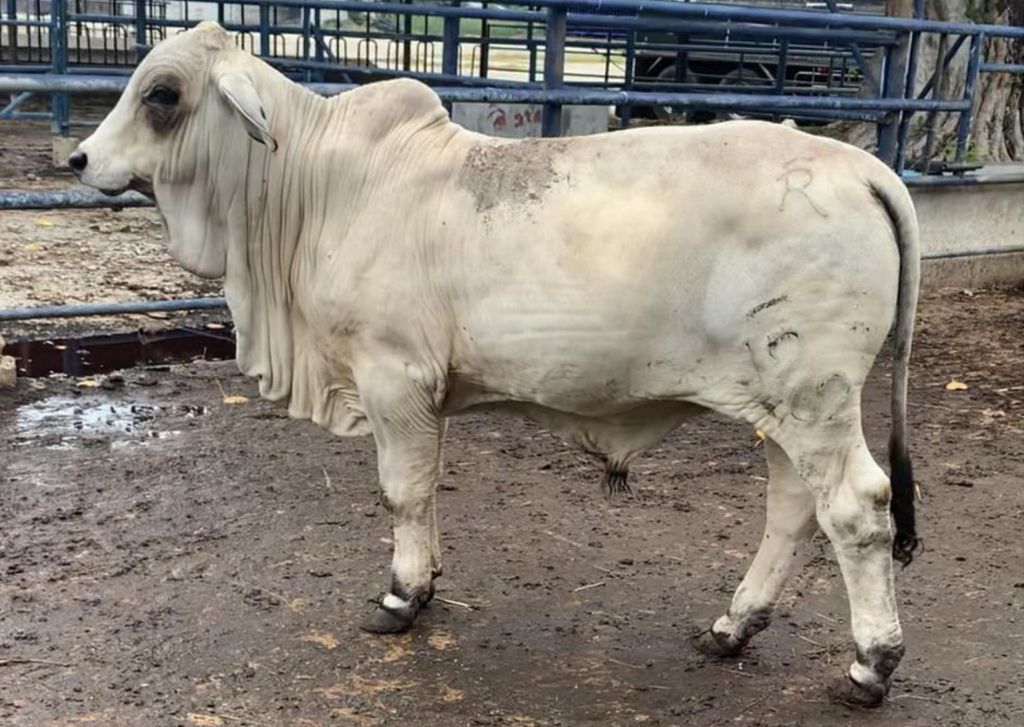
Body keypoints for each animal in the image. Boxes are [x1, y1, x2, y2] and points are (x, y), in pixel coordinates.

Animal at [69, 22, 920, 707]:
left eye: (162, 94)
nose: (79, 159)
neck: (318, 186)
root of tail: (858, 166)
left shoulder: (393, 378)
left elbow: (403, 492)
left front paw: (402, 596)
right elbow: (424, 493)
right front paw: (426, 581)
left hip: (814, 397)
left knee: (857, 509)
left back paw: (870, 664)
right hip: (778, 406)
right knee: (792, 507)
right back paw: (732, 626)